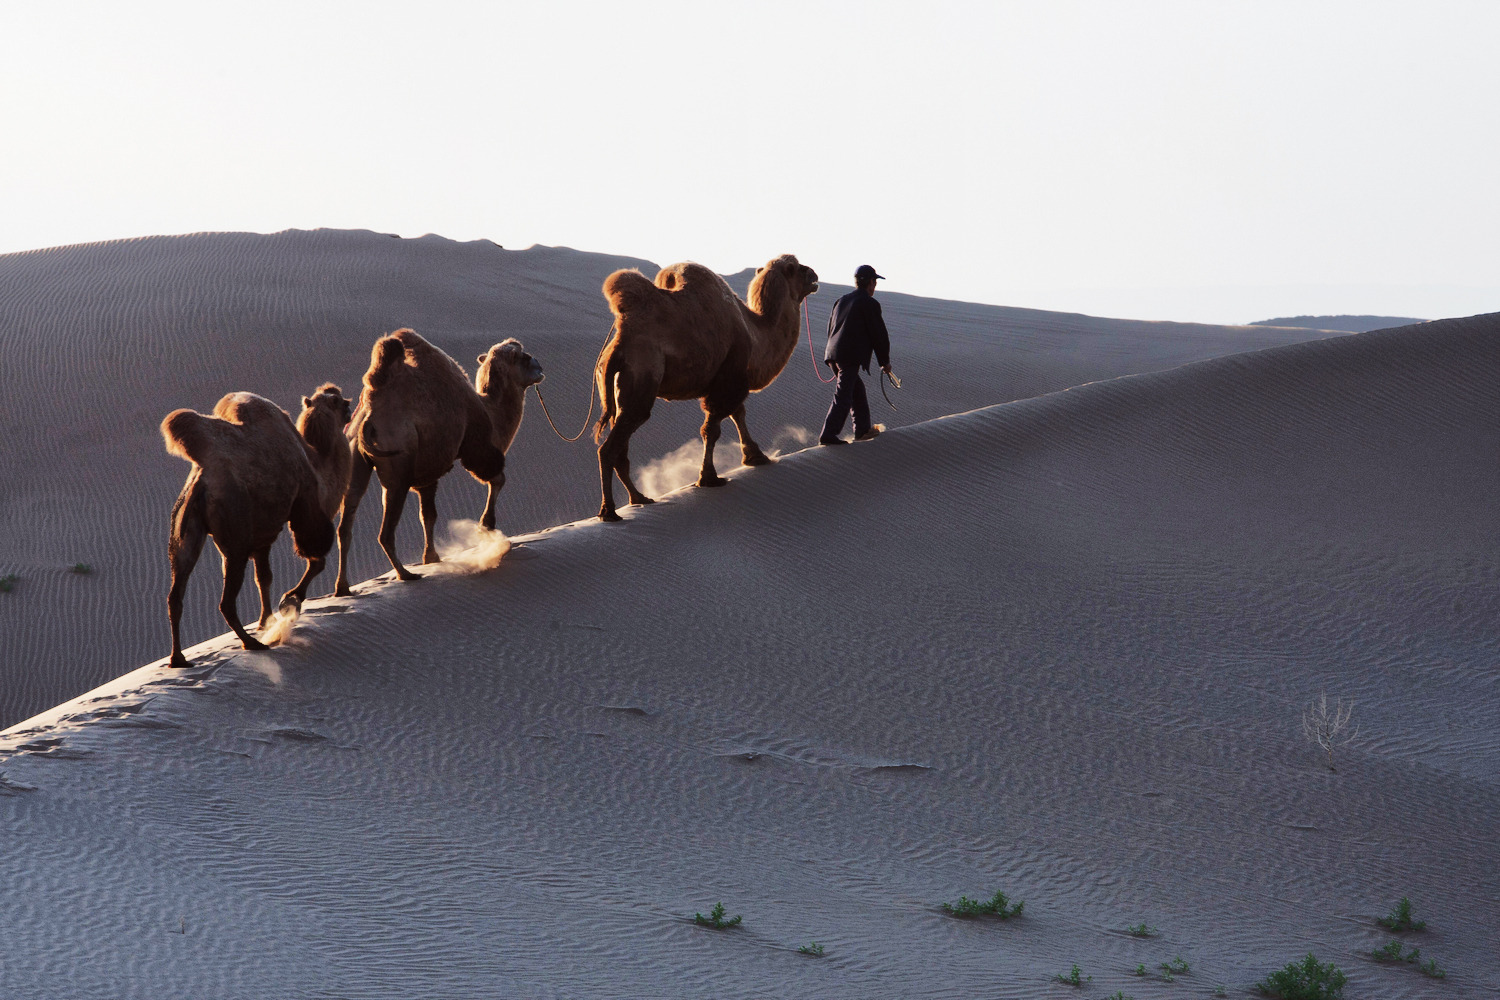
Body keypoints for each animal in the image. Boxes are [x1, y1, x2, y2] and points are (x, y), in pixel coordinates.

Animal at [160, 386, 354, 668]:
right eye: (339, 402)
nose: (351, 407)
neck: (317, 464)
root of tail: (201, 481)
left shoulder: (263, 537)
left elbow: (264, 577)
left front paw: (265, 621)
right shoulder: (306, 509)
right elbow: (317, 561)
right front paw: (290, 602)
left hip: (185, 531)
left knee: (176, 592)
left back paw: (179, 659)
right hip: (236, 538)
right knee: (226, 602)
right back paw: (252, 644)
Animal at [339, 328, 546, 593]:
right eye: (524, 357)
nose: (540, 368)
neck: (489, 409)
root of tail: (369, 415)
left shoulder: (429, 472)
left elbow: (428, 516)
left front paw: (432, 559)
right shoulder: (476, 448)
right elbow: (498, 478)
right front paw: (486, 527)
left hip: (355, 462)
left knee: (345, 526)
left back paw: (343, 588)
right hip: (398, 471)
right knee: (385, 532)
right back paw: (405, 574)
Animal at [591, 254, 822, 521]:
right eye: (796, 268)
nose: (814, 275)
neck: (755, 332)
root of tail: (618, 344)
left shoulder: (729, 380)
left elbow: (738, 414)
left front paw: (755, 456)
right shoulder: (730, 377)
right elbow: (712, 430)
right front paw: (709, 478)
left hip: (618, 391)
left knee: (620, 445)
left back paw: (639, 499)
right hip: (641, 381)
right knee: (610, 447)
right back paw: (609, 512)